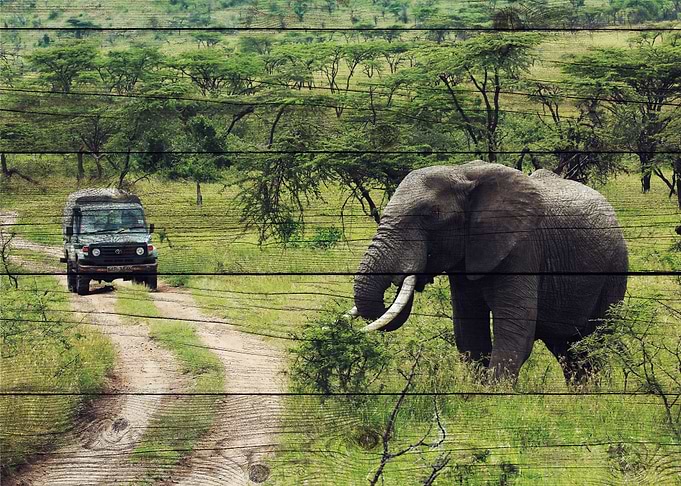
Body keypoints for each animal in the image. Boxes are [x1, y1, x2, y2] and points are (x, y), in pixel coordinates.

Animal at [348, 162, 628, 382]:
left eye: (431, 215)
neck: (461, 172)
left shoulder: (522, 247)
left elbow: (515, 330)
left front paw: (494, 398)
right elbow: (469, 331)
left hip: (615, 268)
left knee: (594, 342)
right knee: (567, 349)